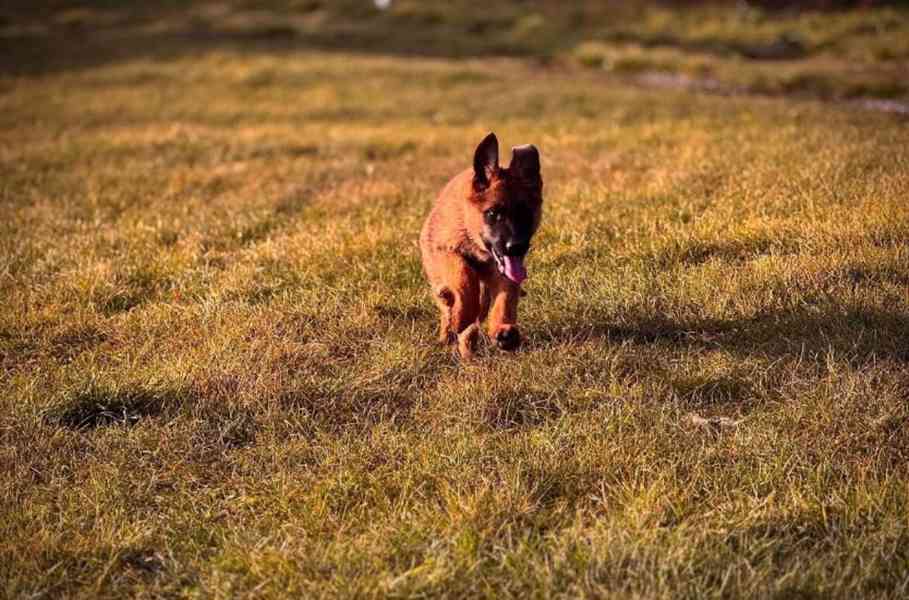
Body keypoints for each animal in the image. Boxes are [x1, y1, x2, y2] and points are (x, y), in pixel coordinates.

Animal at [422, 132, 544, 356]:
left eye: (525, 214)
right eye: (493, 213)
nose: (516, 247)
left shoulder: (504, 271)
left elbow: (505, 298)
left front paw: (502, 329)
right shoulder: (447, 251)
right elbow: (463, 277)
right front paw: (462, 315)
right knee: (448, 303)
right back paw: (450, 327)